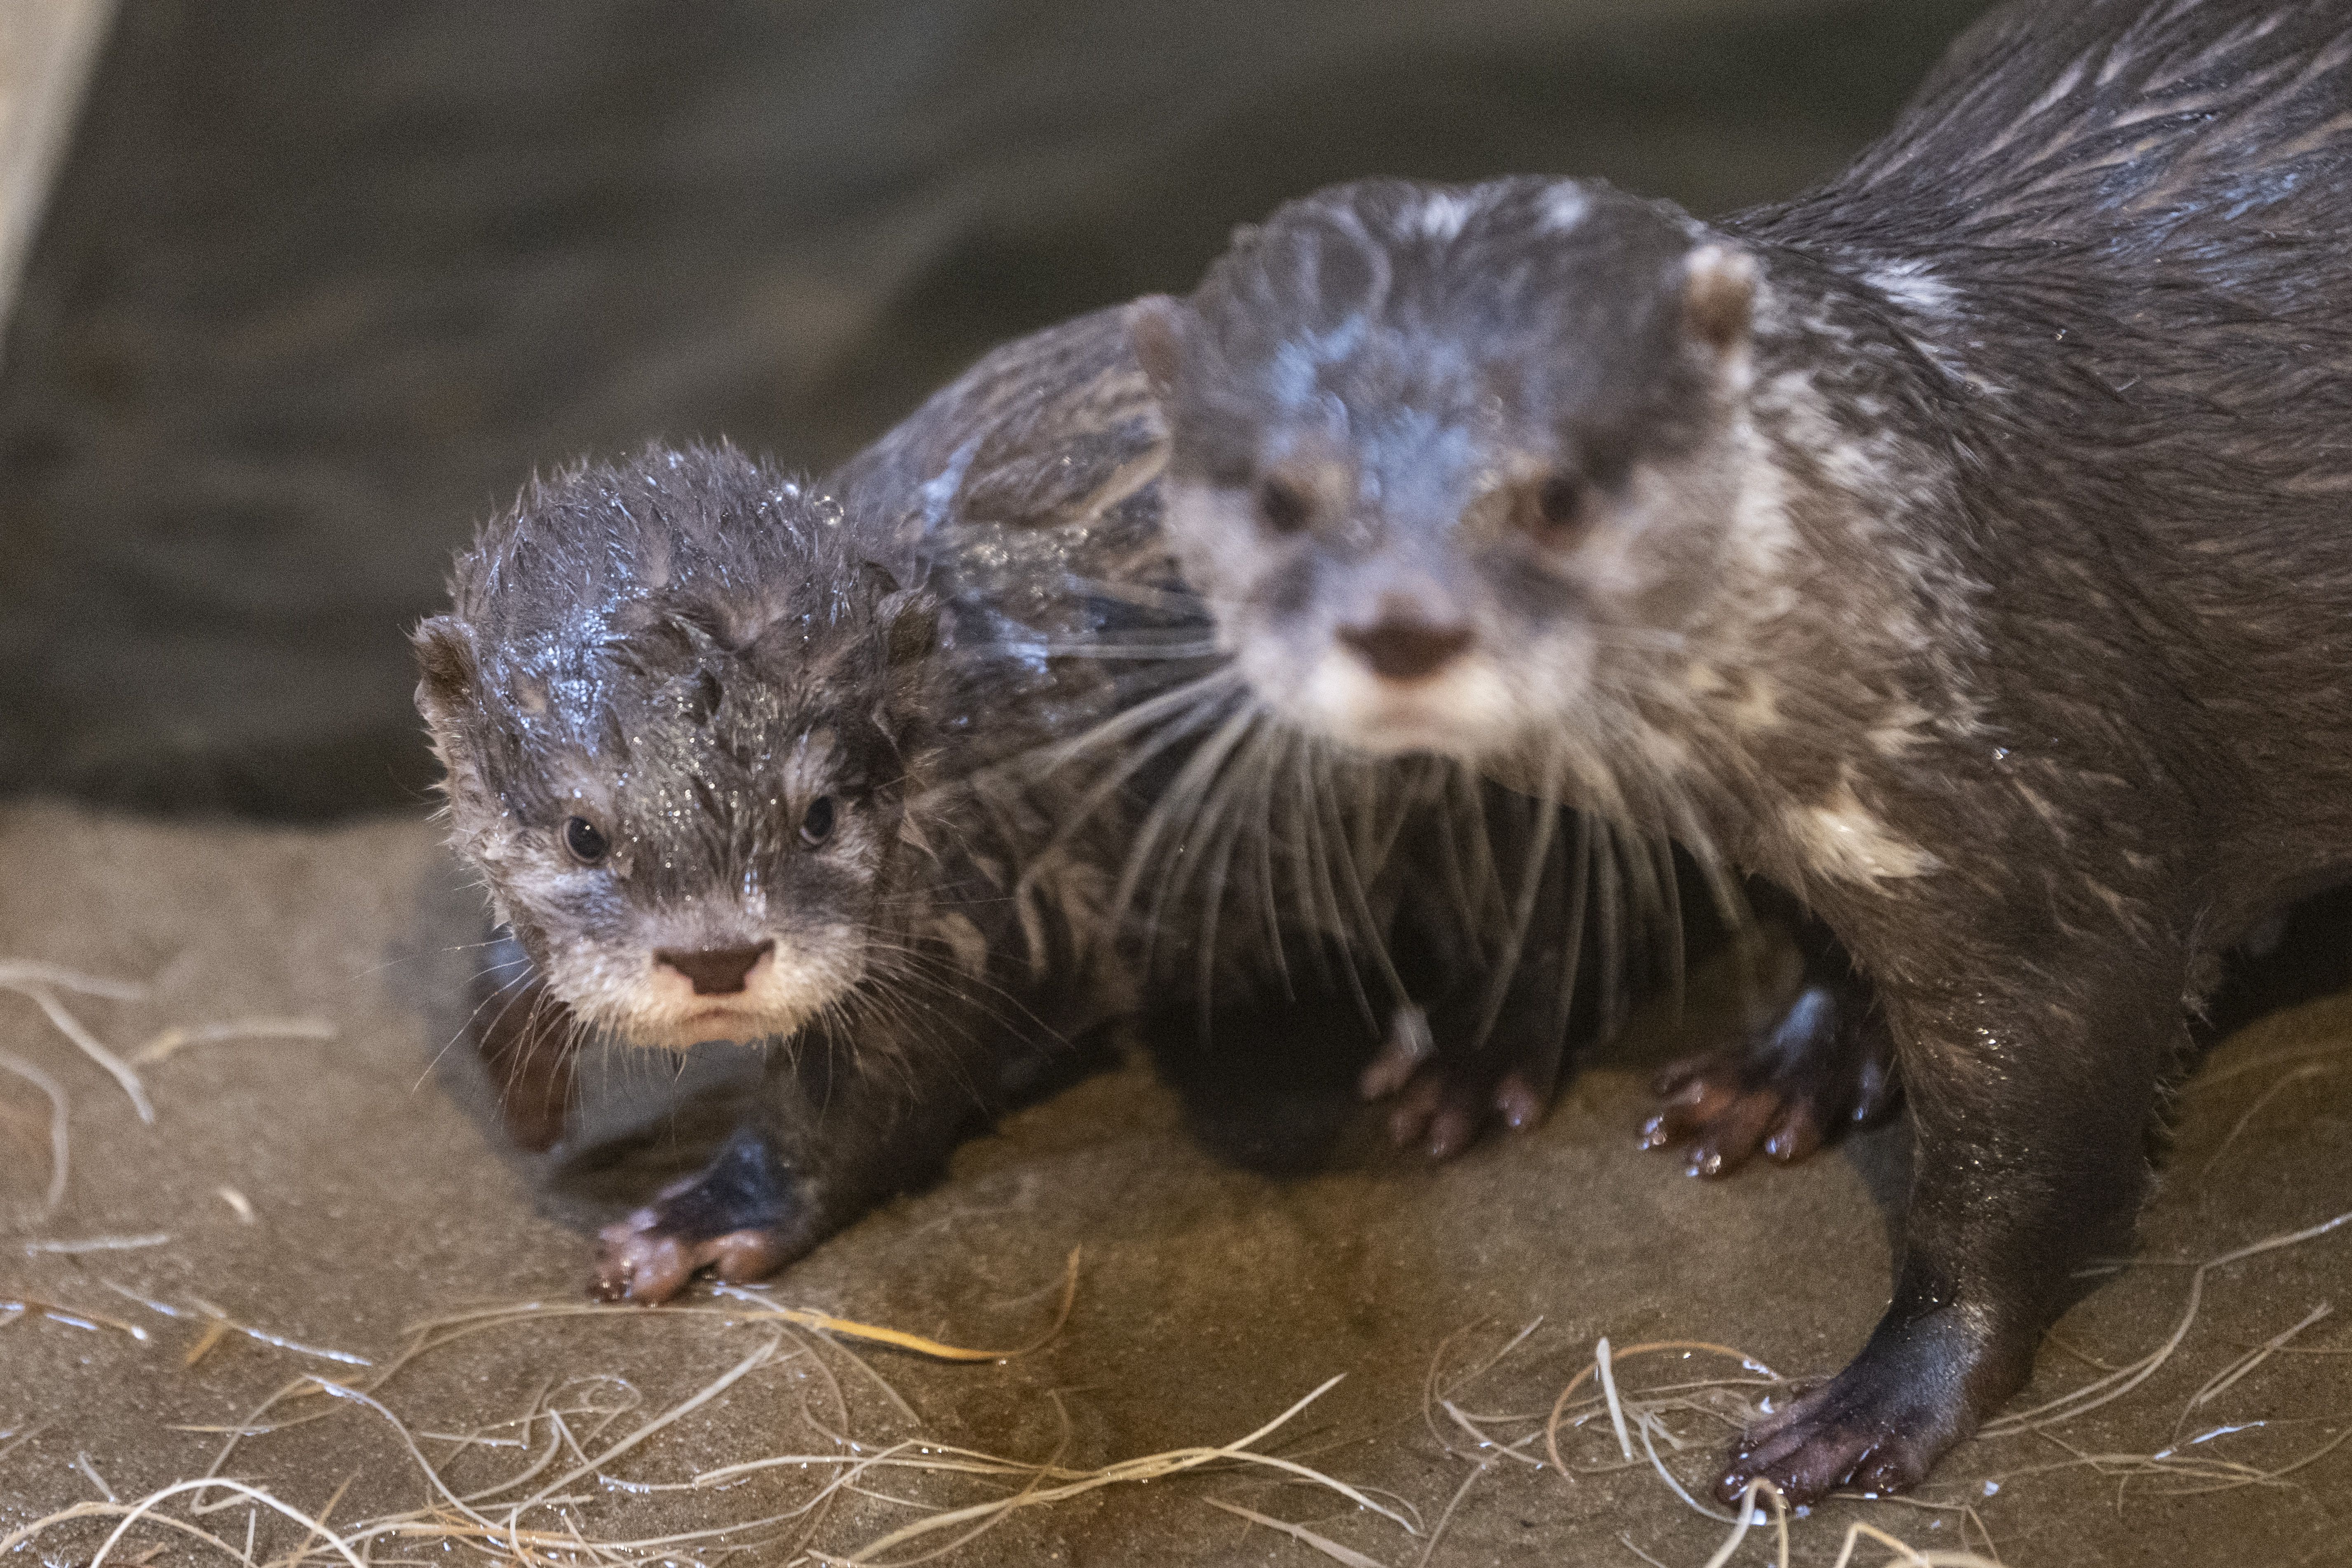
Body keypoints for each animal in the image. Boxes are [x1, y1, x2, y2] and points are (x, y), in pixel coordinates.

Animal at [1126, 0, 2352, 1504]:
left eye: (1559, 489)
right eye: (1276, 495)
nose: (1402, 624)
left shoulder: (2061, 874)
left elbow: (2018, 1180)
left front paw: (1872, 1407)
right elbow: (1815, 943)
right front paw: (1774, 1067)